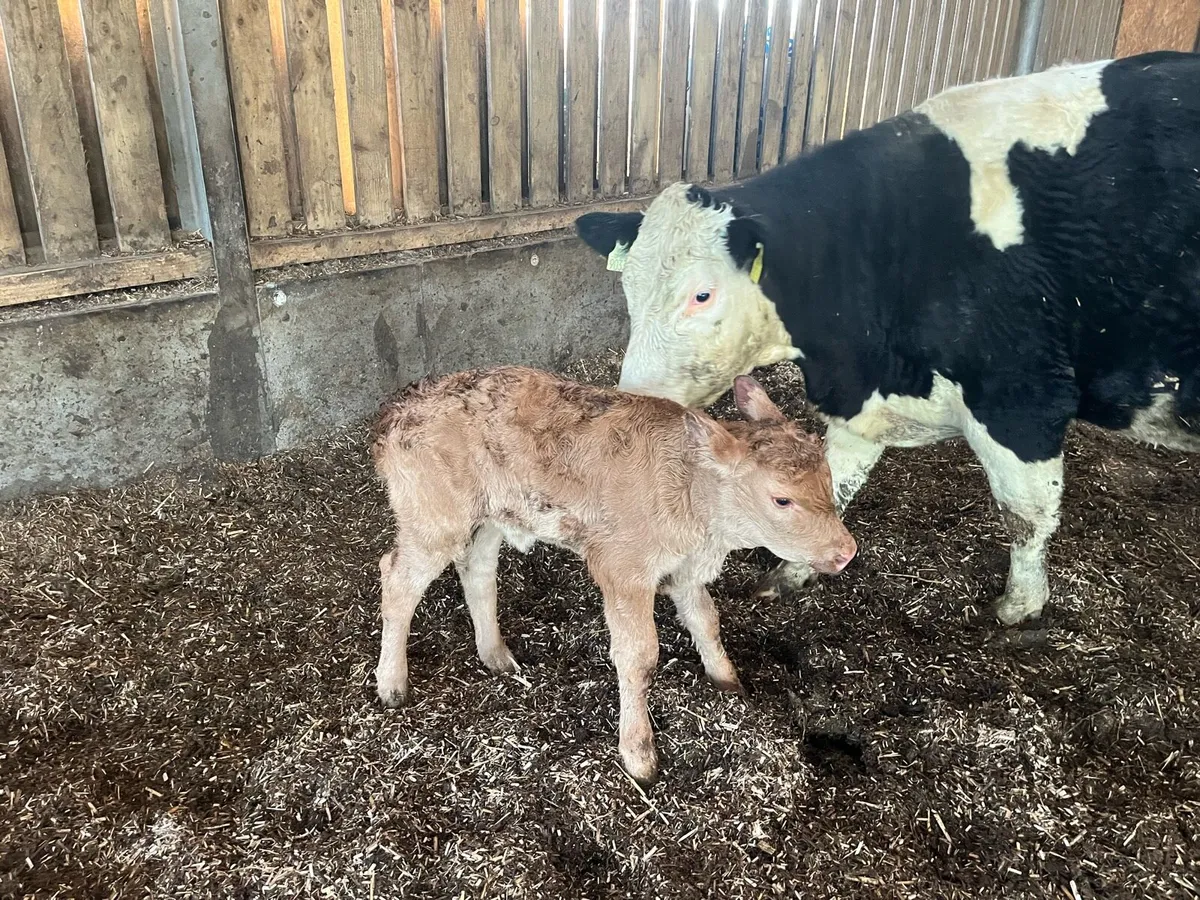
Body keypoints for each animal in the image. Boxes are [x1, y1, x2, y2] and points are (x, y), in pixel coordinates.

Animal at [370, 366, 855, 784]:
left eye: (828, 477)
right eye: (781, 499)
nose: (847, 552)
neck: (694, 499)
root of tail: (397, 410)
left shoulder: (685, 568)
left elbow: (707, 621)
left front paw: (728, 682)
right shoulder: (624, 569)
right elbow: (639, 657)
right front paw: (640, 755)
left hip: (490, 516)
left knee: (477, 569)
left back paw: (497, 656)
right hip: (433, 517)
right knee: (397, 580)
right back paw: (392, 684)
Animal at [575, 51, 1200, 626]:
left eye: (702, 295)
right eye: (627, 285)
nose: (634, 400)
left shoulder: (1022, 399)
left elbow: (1026, 514)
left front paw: (1020, 610)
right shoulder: (864, 399)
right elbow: (834, 482)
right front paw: (794, 571)